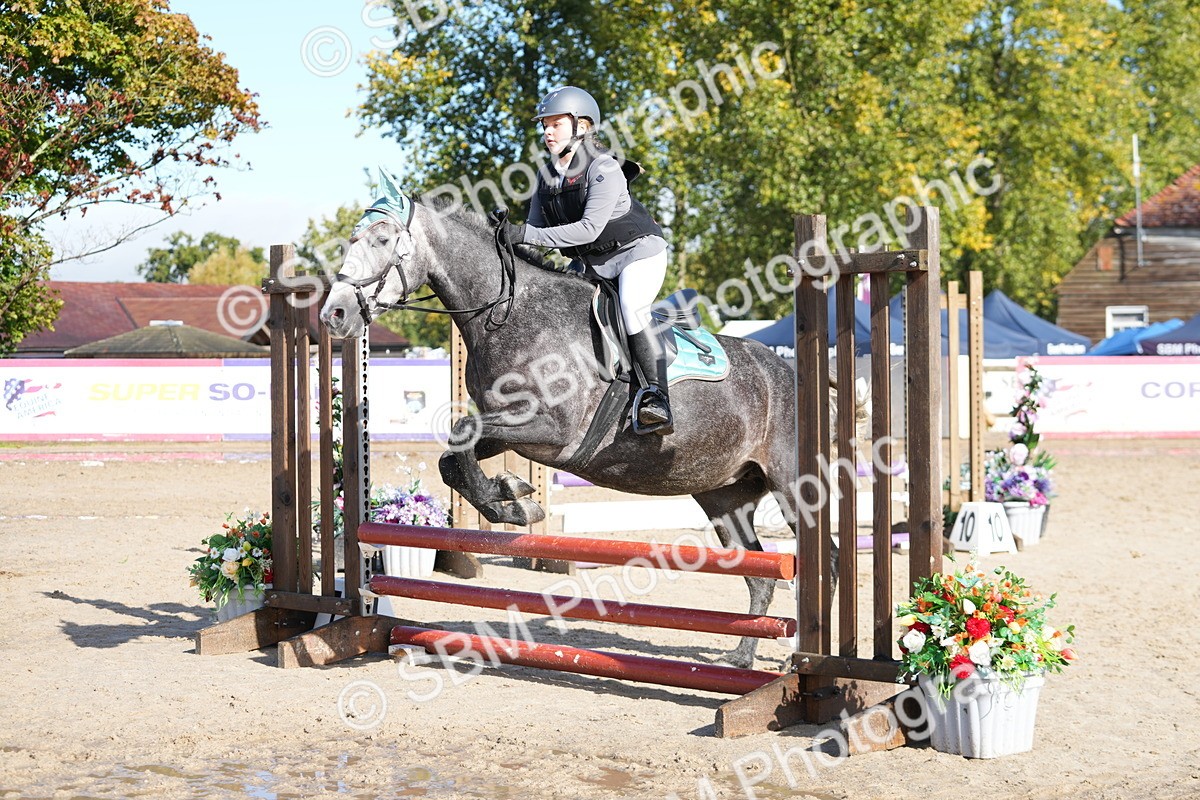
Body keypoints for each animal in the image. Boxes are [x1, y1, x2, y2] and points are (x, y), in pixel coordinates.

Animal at [319, 175, 832, 670]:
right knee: (760, 575)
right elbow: (453, 458)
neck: (509, 312)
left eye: (383, 239)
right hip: (725, 495)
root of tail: (792, 372)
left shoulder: (553, 433)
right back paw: (742, 658)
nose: (334, 314)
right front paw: (512, 499)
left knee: (824, 559)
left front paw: (515, 503)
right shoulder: (509, 428)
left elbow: (461, 438)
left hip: (791, 486)